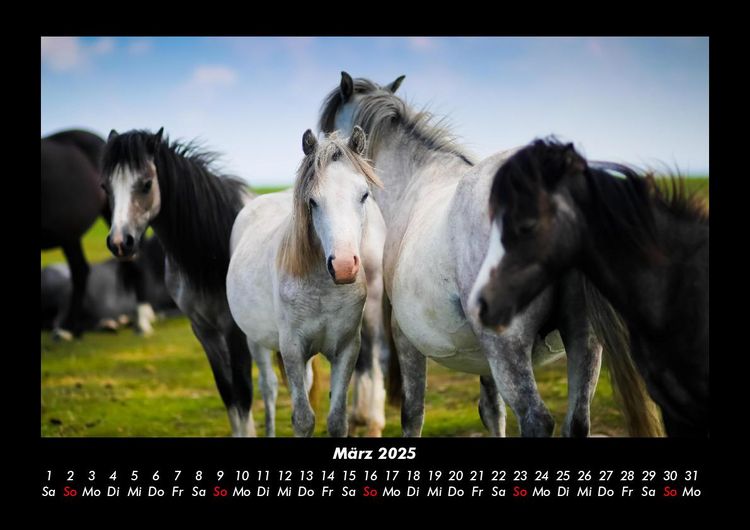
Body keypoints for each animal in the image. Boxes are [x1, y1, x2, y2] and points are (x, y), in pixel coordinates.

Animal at [101, 128, 258, 436]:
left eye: (146, 184)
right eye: (105, 187)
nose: (120, 243)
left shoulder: (235, 332)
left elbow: (244, 395)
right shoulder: (204, 331)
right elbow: (229, 395)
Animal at [226, 127, 386, 437]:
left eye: (364, 195)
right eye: (313, 201)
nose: (344, 266)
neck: (323, 290)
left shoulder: (346, 348)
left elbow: (336, 420)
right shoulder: (292, 349)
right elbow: (302, 418)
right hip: (255, 341)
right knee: (269, 389)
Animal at [320, 72, 657, 437]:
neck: (417, 180)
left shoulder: (405, 336)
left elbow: (412, 413)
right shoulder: (483, 357)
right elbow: (492, 411)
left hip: (507, 348)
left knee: (536, 418)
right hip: (583, 341)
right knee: (577, 421)